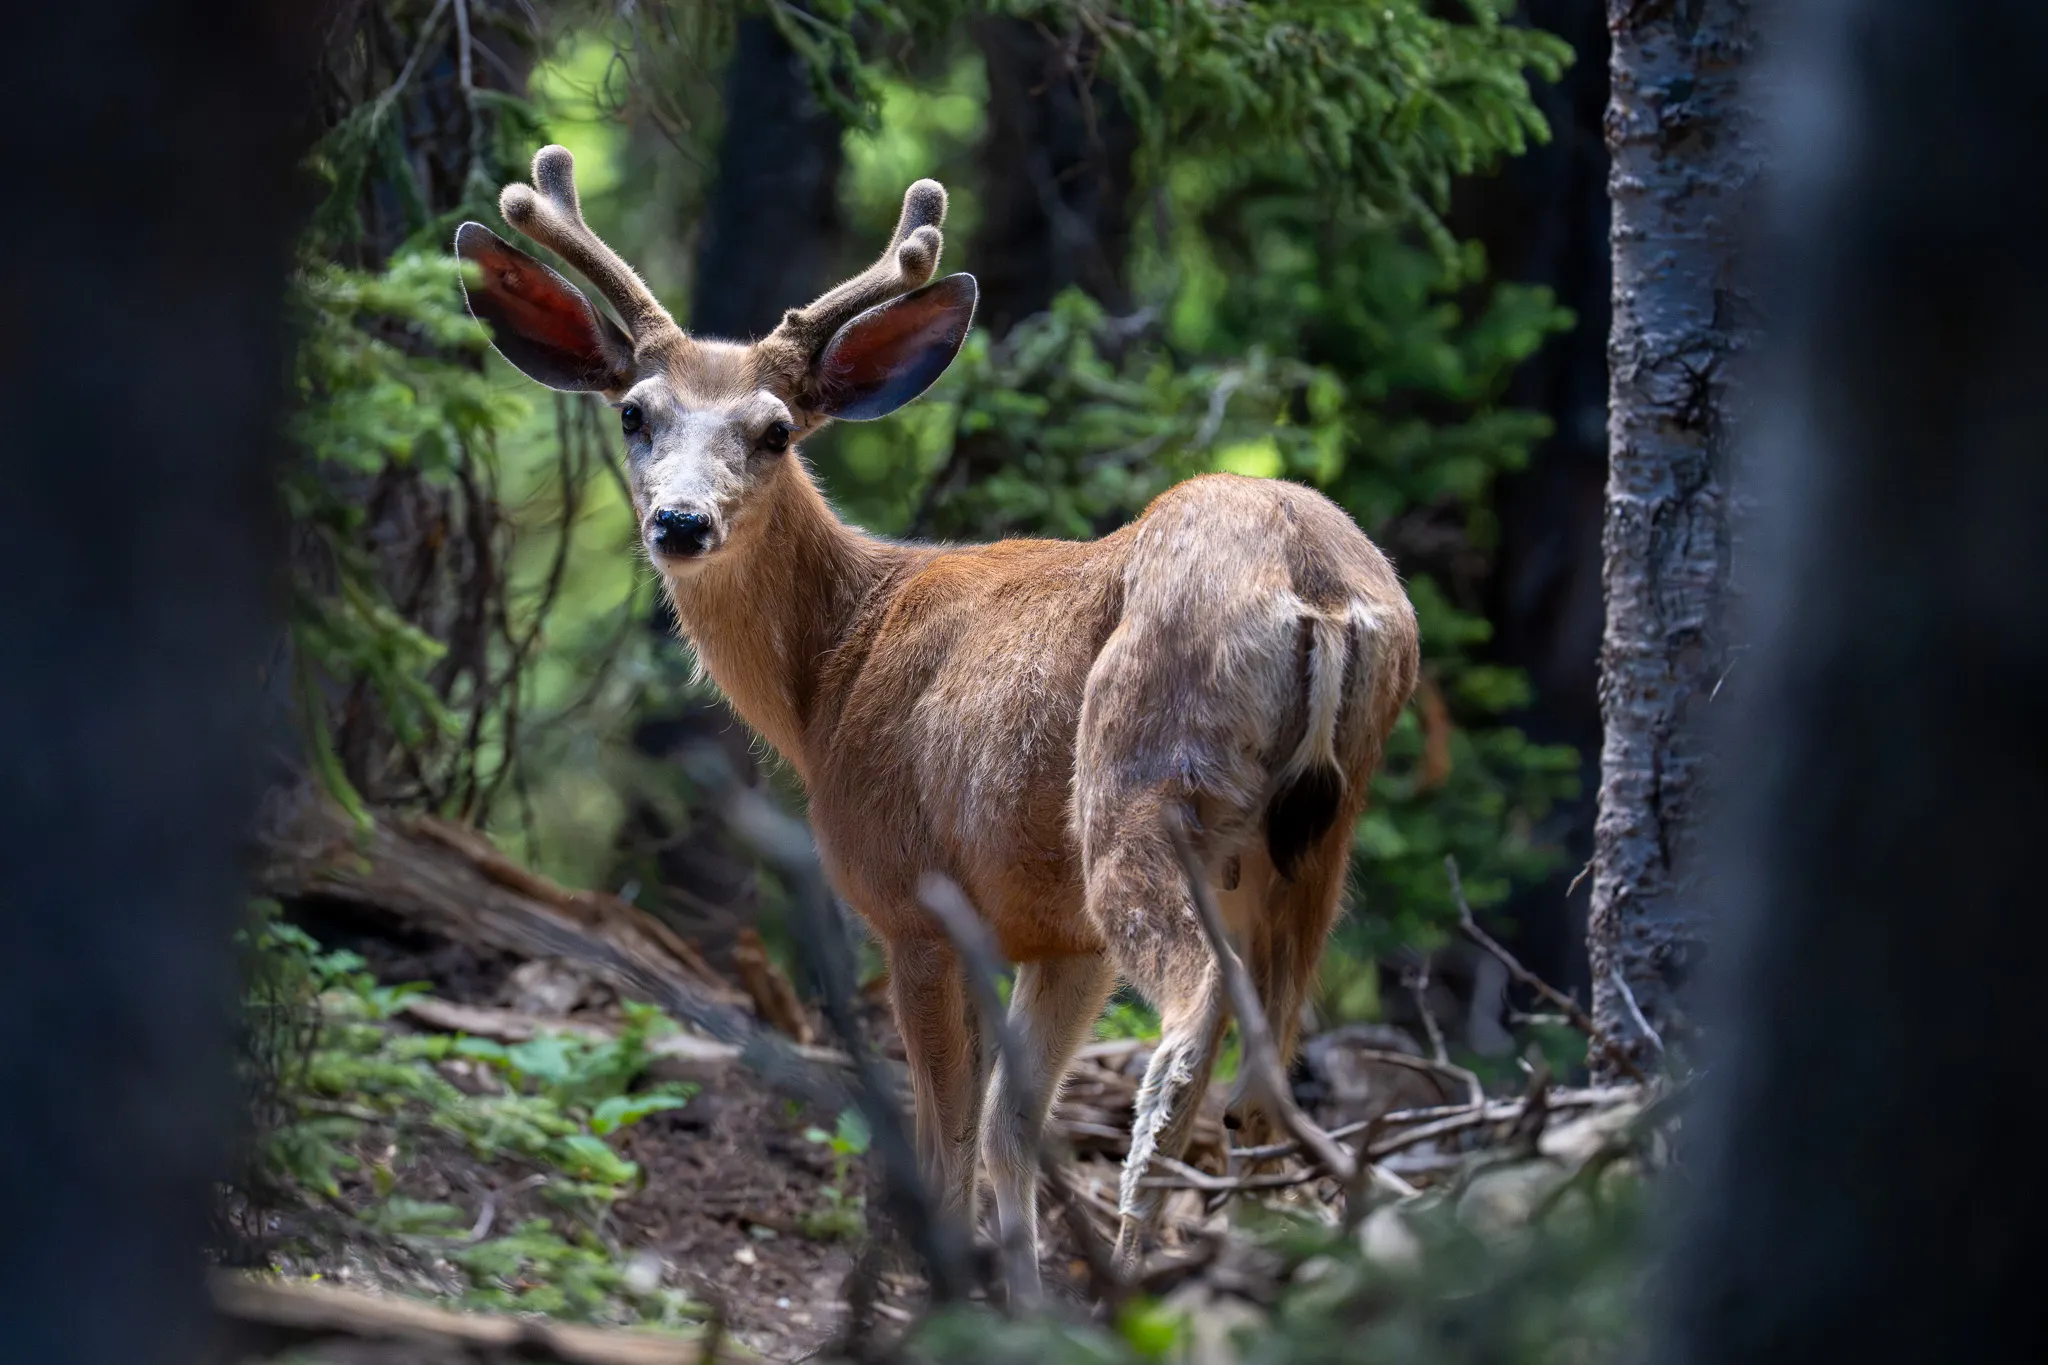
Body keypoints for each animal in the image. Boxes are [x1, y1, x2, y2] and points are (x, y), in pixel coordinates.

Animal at [455, 146, 1420, 1293]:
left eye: (774, 431)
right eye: (634, 413)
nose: (681, 522)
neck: (831, 667)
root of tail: (1318, 588)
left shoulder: (910, 897)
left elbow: (944, 1134)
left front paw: (943, 1289)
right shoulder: (1054, 934)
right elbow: (1010, 1127)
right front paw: (1019, 1298)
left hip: (1143, 788)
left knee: (1190, 1034)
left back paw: (1141, 1265)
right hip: (1318, 841)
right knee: (1269, 1078)